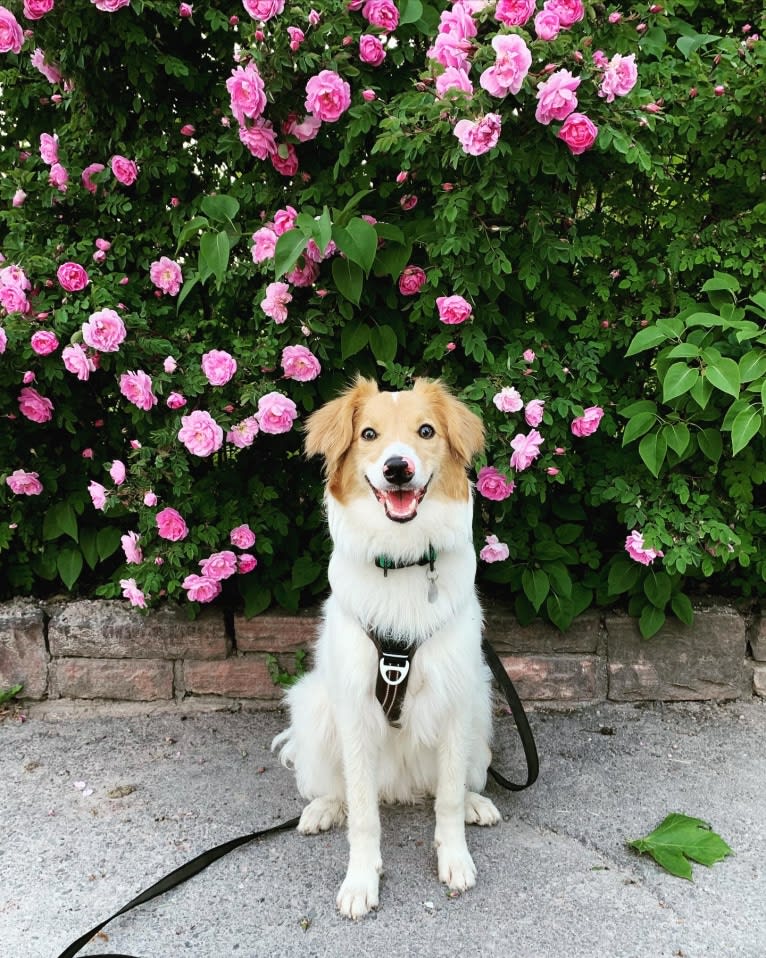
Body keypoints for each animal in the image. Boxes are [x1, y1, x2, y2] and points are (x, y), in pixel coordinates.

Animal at [272, 376, 500, 924]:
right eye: (369, 434)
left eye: (426, 431)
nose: (398, 468)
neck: (401, 558)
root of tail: (400, 784)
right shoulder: (354, 710)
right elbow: (363, 815)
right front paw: (360, 880)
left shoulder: (455, 698)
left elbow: (447, 802)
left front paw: (454, 857)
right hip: (314, 706)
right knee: (337, 789)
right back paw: (323, 808)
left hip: (481, 705)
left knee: (454, 784)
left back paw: (476, 802)